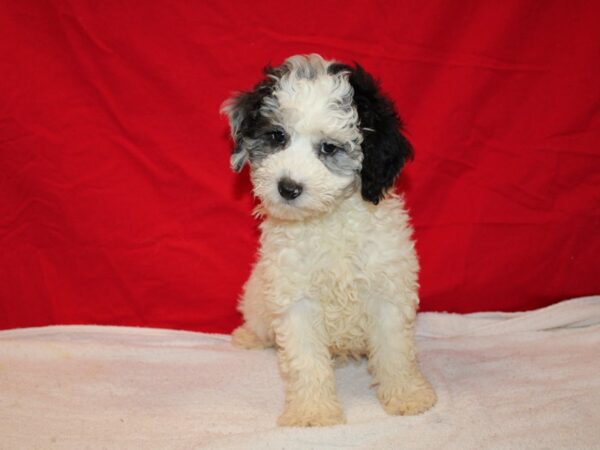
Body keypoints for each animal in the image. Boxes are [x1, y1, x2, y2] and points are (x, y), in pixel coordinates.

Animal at [220, 54, 436, 428]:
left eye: (329, 148)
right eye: (277, 136)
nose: (288, 187)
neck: (328, 218)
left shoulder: (386, 290)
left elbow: (395, 352)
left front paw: (408, 396)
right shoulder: (296, 299)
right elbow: (306, 361)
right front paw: (313, 411)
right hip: (259, 296)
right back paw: (249, 335)